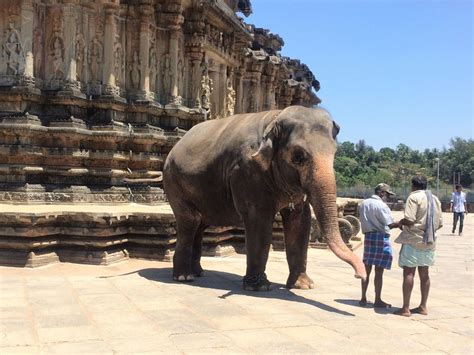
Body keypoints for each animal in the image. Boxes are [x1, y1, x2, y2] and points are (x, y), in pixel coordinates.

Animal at [163, 106, 366, 292]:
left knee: (200, 224)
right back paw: (184, 277)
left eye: (334, 154)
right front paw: (259, 287)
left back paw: (198, 273)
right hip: (174, 183)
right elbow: (259, 219)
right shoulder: (246, 171)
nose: (360, 276)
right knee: (190, 221)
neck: (274, 119)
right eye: (298, 157)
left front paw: (303, 286)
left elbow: (300, 221)